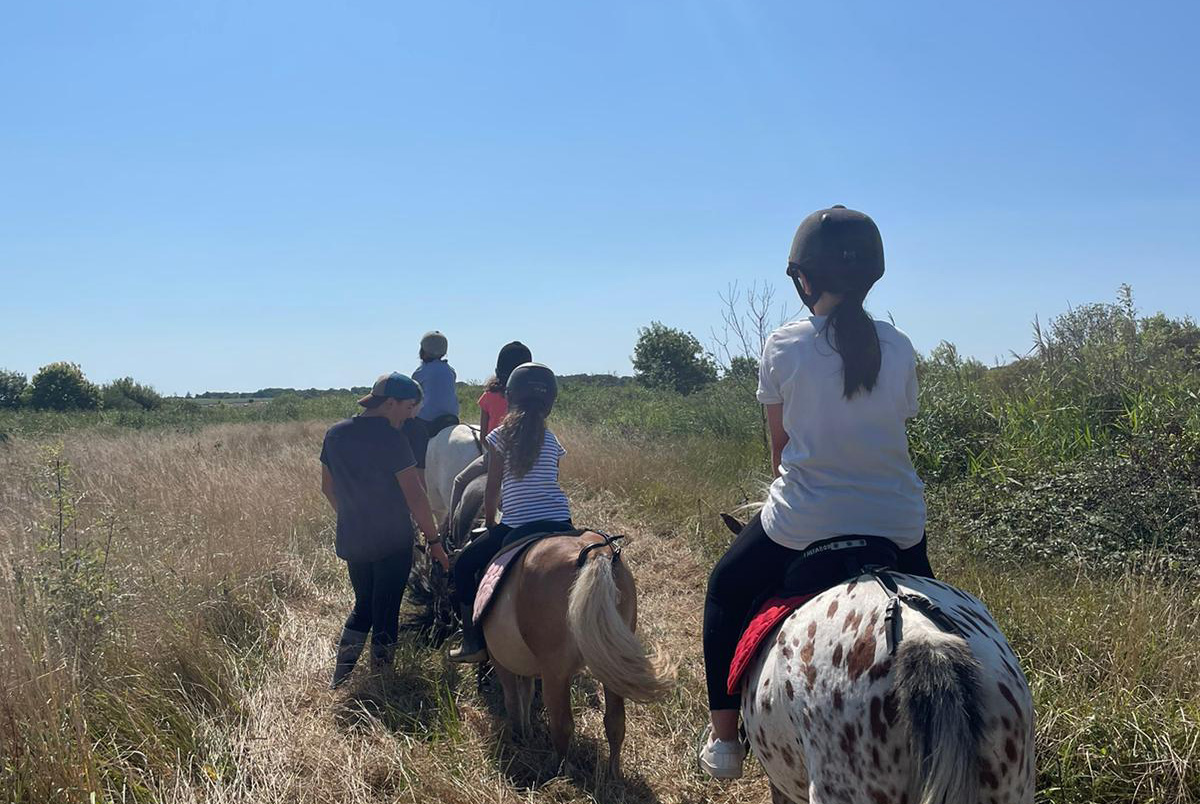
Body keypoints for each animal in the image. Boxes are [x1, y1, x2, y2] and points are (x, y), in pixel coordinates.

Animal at [484, 532, 676, 777]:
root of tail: (595, 552)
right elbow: (525, 695)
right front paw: (527, 733)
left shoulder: (500, 660)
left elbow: (513, 699)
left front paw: (520, 735)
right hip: (612, 665)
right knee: (615, 722)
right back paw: (613, 775)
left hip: (556, 673)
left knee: (562, 725)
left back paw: (560, 774)